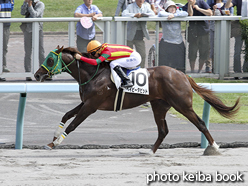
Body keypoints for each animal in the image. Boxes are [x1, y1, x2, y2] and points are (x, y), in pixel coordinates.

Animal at [34, 45, 239, 153]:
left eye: (50, 60)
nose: (37, 75)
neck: (92, 74)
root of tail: (182, 74)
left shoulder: (91, 106)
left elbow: (73, 124)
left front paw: (56, 143)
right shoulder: (86, 103)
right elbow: (66, 115)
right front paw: (53, 138)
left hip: (182, 105)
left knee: (201, 123)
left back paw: (215, 147)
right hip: (159, 106)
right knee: (163, 130)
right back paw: (149, 152)